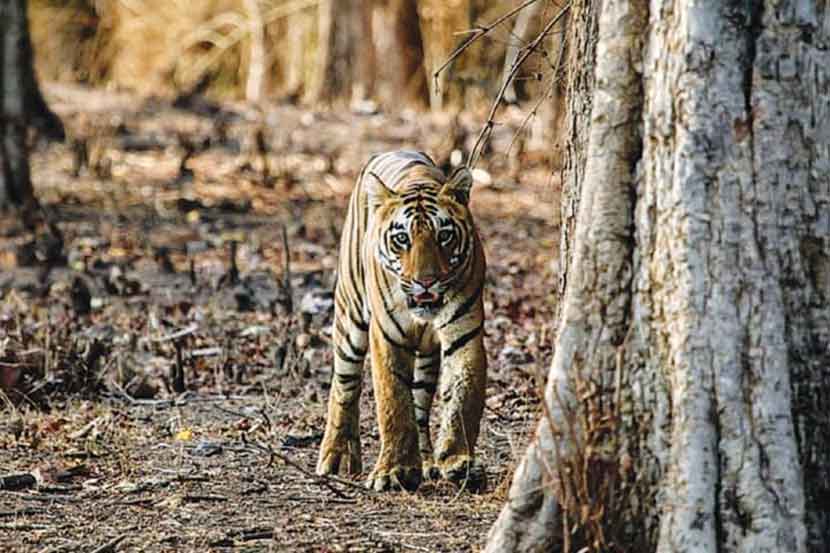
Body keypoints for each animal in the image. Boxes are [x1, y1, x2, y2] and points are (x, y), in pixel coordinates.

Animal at [316, 149, 488, 490]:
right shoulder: (386, 337)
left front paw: (457, 461)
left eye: (444, 236)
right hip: (350, 318)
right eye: (402, 239)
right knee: (344, 387)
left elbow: (463, 397)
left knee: (420, 404)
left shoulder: (466, 333)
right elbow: (393, 401)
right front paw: (393, 471)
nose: (426, 282)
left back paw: (427, 462)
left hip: (427, 359)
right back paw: (333, 457)